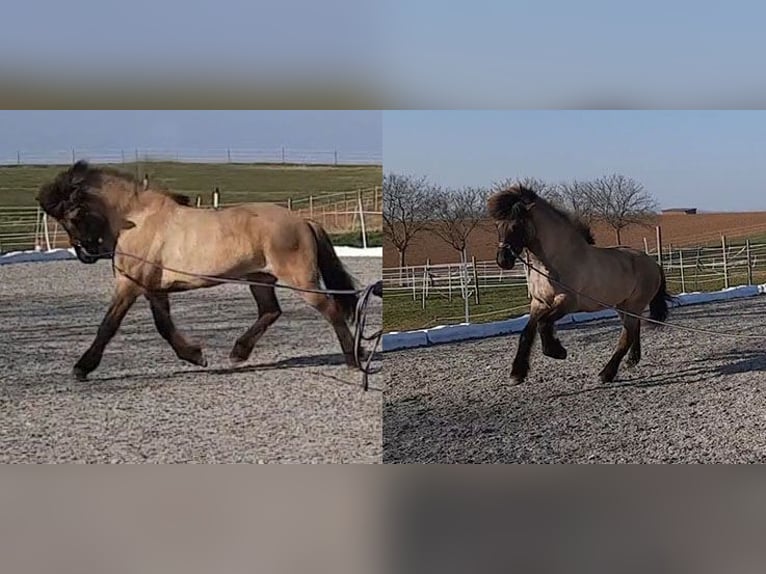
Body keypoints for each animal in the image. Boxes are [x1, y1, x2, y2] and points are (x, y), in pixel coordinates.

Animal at [36, 160, 363, 381]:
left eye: (72, 216)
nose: (87, 254)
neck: (137, 219)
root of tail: (303, 220)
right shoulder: (153, 288)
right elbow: (164, 326)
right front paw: (195, 356)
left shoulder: (130, 284)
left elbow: (109, 325)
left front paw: (82, 367)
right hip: (260, 278)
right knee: (270, 311)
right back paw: (238, 352)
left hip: (300, 280)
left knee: (330, 309)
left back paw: (353, 359)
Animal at [487, 184, 673, 384]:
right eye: (497, 225)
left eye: (517, 225)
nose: (503, 260)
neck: (554, 262)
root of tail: (653, 263)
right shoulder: (539, 302)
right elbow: (526, 334)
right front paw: (517, 374)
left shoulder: (568, 301)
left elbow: (543, 324)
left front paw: (557, 351)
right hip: (622, 306)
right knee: (634, 330)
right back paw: (631, 360)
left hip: (633, 305)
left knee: (627, 336)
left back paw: (606, 374)